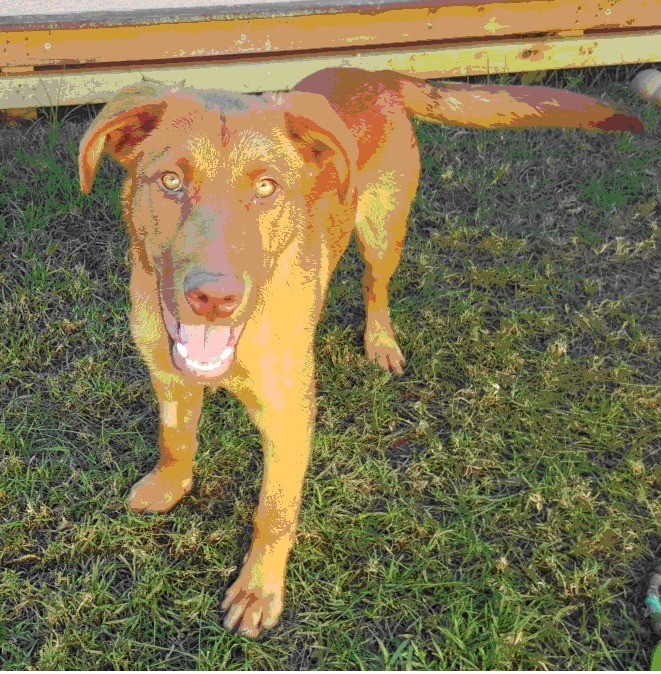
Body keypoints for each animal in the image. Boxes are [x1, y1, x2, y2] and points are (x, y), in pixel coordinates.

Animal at [77, 68, 640, 636]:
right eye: (170, 181)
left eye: (266, 188)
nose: (214, 299)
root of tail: (376, 74)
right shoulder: (167, 377)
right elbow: (175, 440)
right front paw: (171, 484)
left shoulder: (289, 418)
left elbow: (274, 512)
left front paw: (259, 589)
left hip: (383, 231)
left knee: (376, 287)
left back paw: (381, 342)